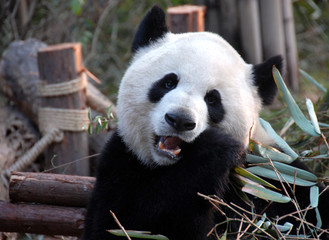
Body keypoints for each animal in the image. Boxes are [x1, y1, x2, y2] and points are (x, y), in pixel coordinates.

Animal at [81, 4, 326, 239]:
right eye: (168, 82)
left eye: (212, 99)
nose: (180, 120)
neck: (168, 166)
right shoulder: (121, 162)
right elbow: (123, 225)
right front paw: (213, 148)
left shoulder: (275, 174)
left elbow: (307, 210)